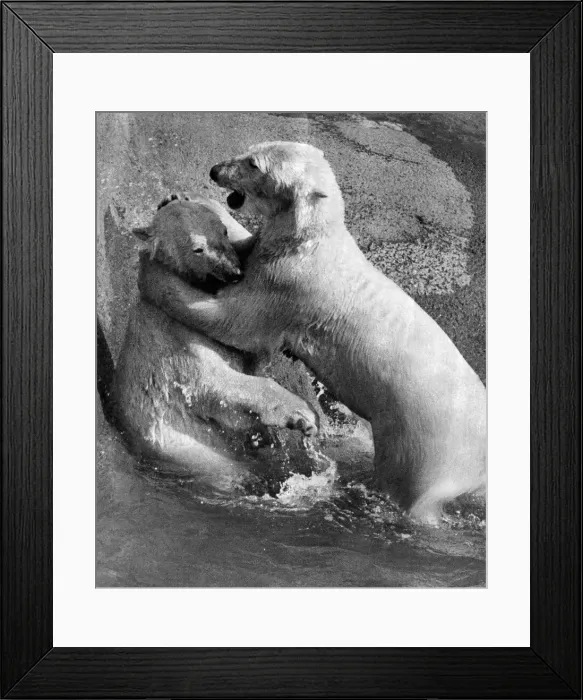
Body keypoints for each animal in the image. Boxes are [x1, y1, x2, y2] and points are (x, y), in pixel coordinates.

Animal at [112, 193, 319, 494]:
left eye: (222, 231)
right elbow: (215, 383)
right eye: (198, 249)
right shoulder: (177, 340)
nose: (234, 272)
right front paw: (302, 416)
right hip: (203, 457)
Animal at [137, 144, 487, 522]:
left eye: (253, 164)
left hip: (424, 450)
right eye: (251, 149)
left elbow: (234, 321)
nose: (215, 170)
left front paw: (154, 274)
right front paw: (177, 199)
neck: (312, 239)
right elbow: (248, 245)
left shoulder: (288, 285)